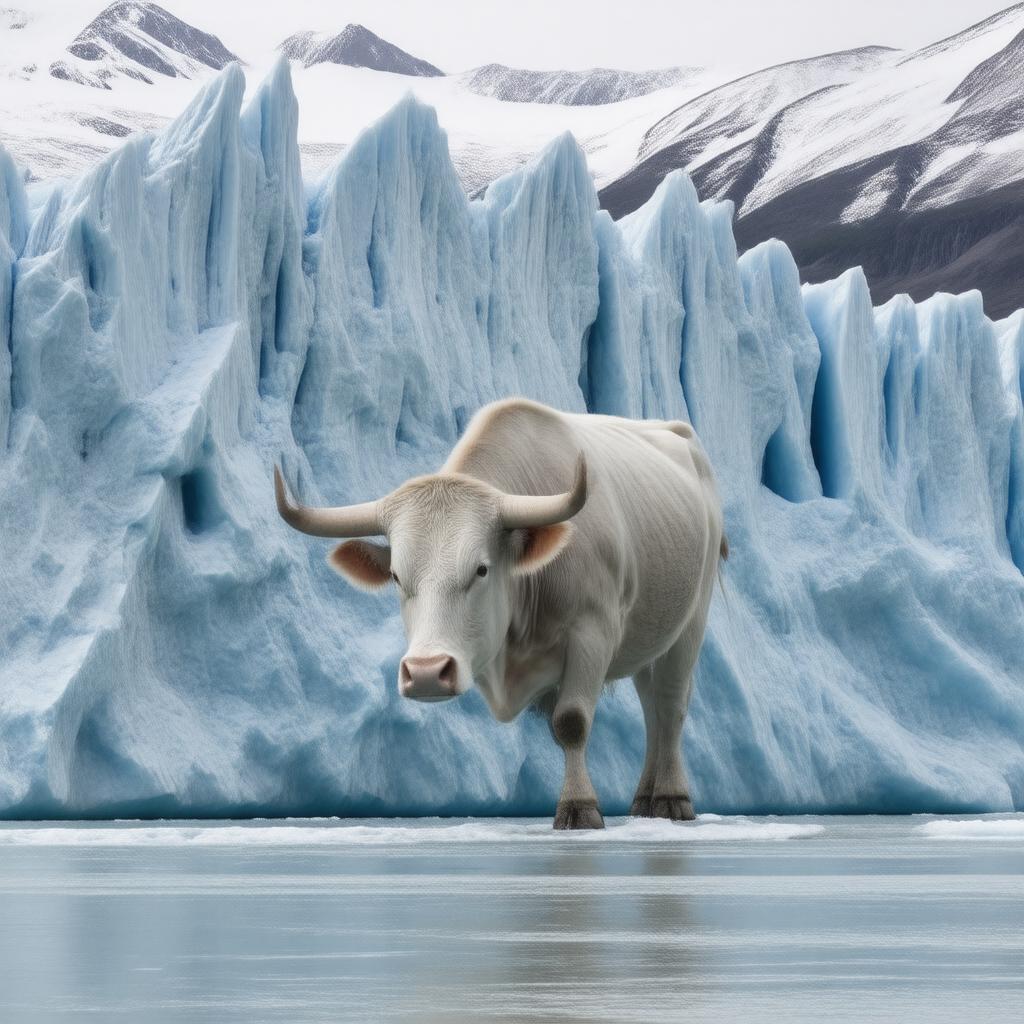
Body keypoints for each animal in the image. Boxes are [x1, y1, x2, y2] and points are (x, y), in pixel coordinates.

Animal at [276, 395, 724, 827]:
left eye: (481, 569)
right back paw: (645, 799)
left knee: (670, 707)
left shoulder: (592, 633)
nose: (426, 673)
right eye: (397, 576)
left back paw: (671, 798)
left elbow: (572, 722)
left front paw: (579, 807)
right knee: (652, 709)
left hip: (691, 621)